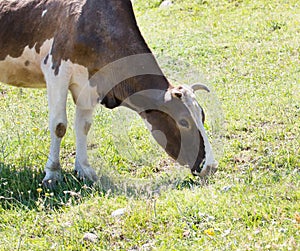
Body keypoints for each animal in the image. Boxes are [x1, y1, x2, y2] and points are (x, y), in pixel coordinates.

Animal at [0, 0, 217, 187]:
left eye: (203, 117)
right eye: (184, 122)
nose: (211, 167)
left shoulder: (91, 84)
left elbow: (84, 126)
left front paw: (84, 170)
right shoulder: (56, 70)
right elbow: (59, 126)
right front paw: (52, 174)